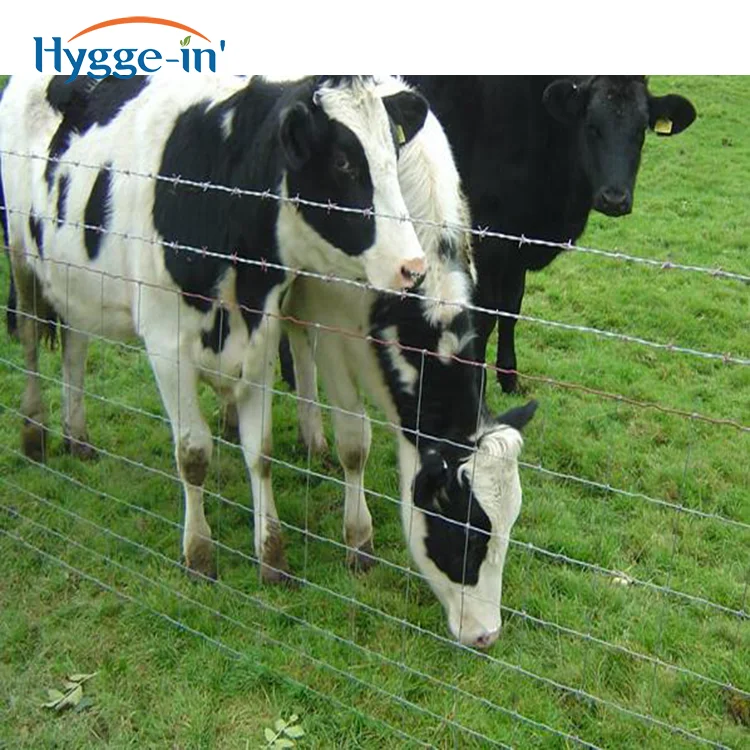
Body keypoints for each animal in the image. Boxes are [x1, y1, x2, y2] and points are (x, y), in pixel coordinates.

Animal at [0, 73, 433, 586]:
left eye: (394, 152)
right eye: (343, 162)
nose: (412, 267)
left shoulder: (261, 338)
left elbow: (260, 452)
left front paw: (272, 555)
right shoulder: (167, 348)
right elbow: (193, 454)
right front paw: (199, 554)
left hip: (75, 277)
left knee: (75, 348)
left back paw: (78, 436)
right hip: (22, 254)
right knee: (30, 341)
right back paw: (35, 434)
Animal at [282, 93, 537, 647]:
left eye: (508, 530)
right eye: (463, 534)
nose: (487, 635)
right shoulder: (335, 329)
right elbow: (354, 444)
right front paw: (359, 540)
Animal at [402, 76, 697, 393]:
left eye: (641, 130)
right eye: (591, 126)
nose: (615, 198)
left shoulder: (518, 244)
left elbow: (511, 308)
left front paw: (509, 377)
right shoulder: (486, 241)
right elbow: (485, 316)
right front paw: (477, 388)